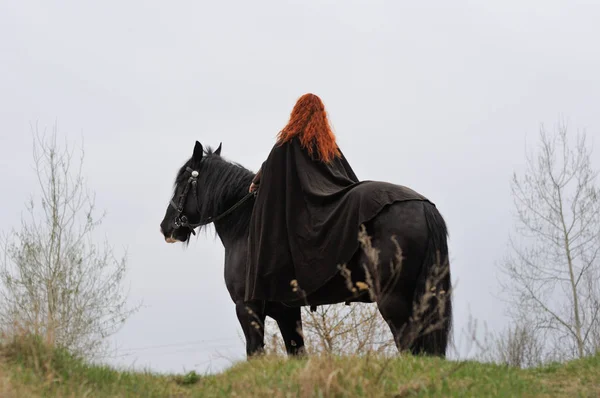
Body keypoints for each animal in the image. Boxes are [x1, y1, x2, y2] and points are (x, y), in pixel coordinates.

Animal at [161, 141, 454, 360]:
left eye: (183, 180)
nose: (166, 227)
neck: (247, 227)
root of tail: (422, 205)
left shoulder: (248, 308)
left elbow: (255, 353)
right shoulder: (287, 312)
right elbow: (297, 353)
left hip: (394, 299)